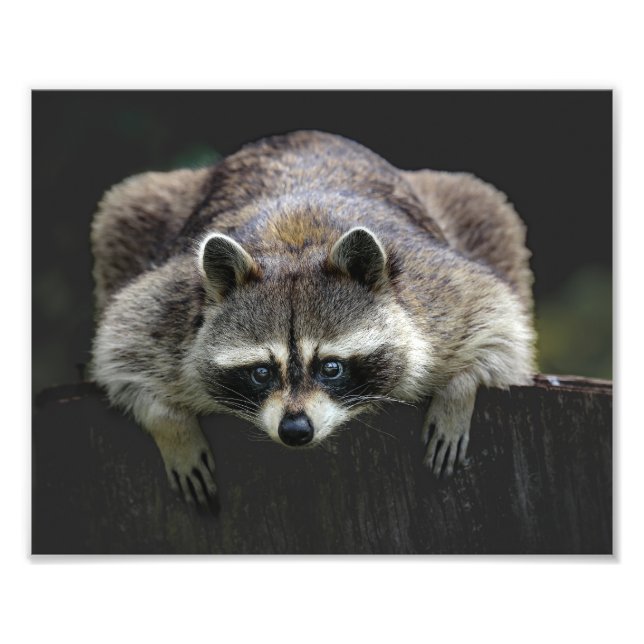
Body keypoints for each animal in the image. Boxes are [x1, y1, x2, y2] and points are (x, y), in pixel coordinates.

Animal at [91, 130, 535, 505]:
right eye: (261, 372)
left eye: (331, 367)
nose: (295, 431)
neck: (296, 246)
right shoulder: (174, 303)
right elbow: (121, 344)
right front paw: (172, 427)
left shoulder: (436, 288)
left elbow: (496, 316)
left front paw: (459, 391)